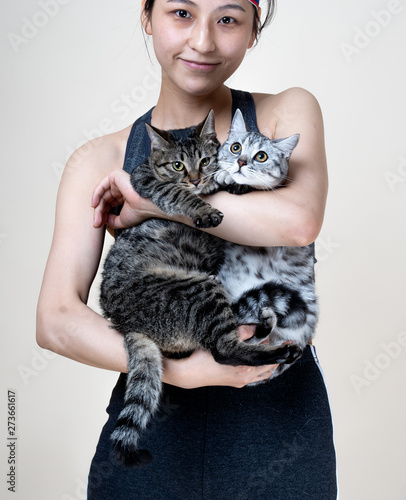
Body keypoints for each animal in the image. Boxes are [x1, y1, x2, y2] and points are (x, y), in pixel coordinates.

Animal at [100, 111, 304, 466]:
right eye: (178, 165)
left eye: (205, 159)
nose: (196, 179)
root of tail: (128, 325)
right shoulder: (147, 181)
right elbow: (181, 195)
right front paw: (207, 201)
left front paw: (232, 178)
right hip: (199, 289)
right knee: (223, 350)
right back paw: (278, 350)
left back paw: (264, 323)